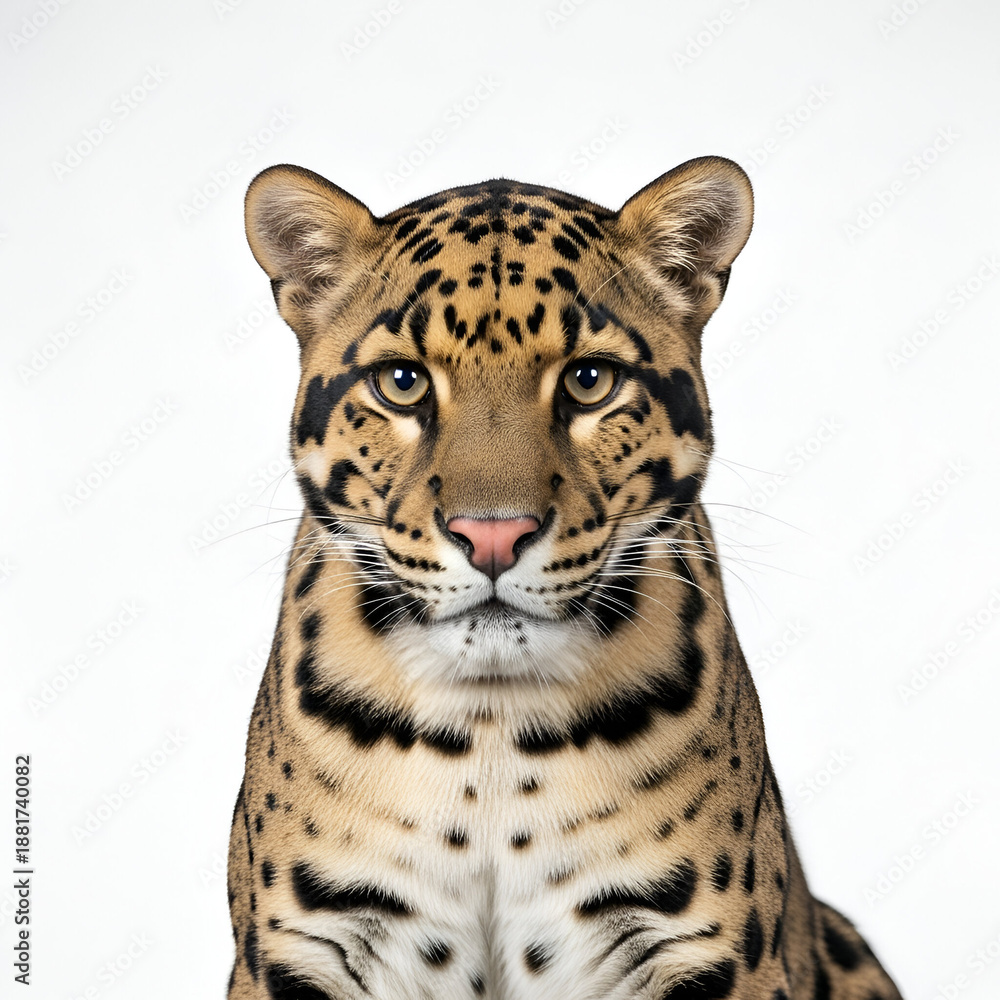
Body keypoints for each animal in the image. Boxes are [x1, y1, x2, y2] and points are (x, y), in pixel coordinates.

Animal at [226, 155, 904, 1000]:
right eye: (402, 383)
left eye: (589, 380)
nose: (492, 535)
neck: (489, 727)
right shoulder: (306, 943)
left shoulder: (705, 948)